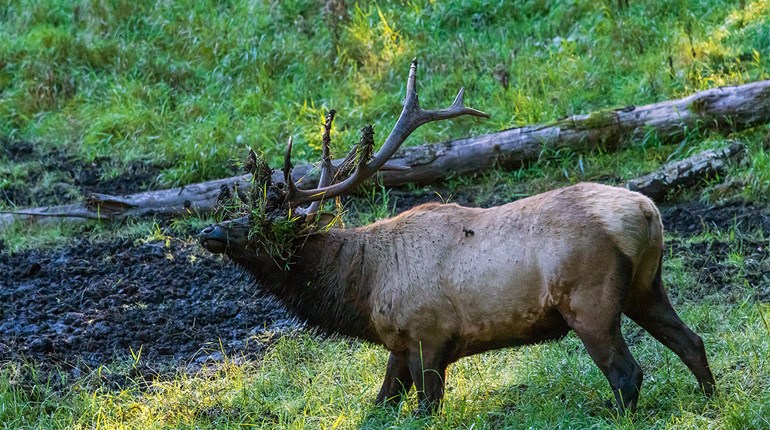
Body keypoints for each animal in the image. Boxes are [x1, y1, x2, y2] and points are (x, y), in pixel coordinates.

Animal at [199, 59, 716, 414]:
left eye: (266, 225)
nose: (209, 231)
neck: (364, 289)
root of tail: (648, 212)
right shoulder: (399, 345)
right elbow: (380, 406)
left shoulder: (429, 336)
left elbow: (425, 410)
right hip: (646, 287)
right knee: (692, 341)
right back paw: (711, 398)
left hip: (590, 300)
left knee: (628, 373)